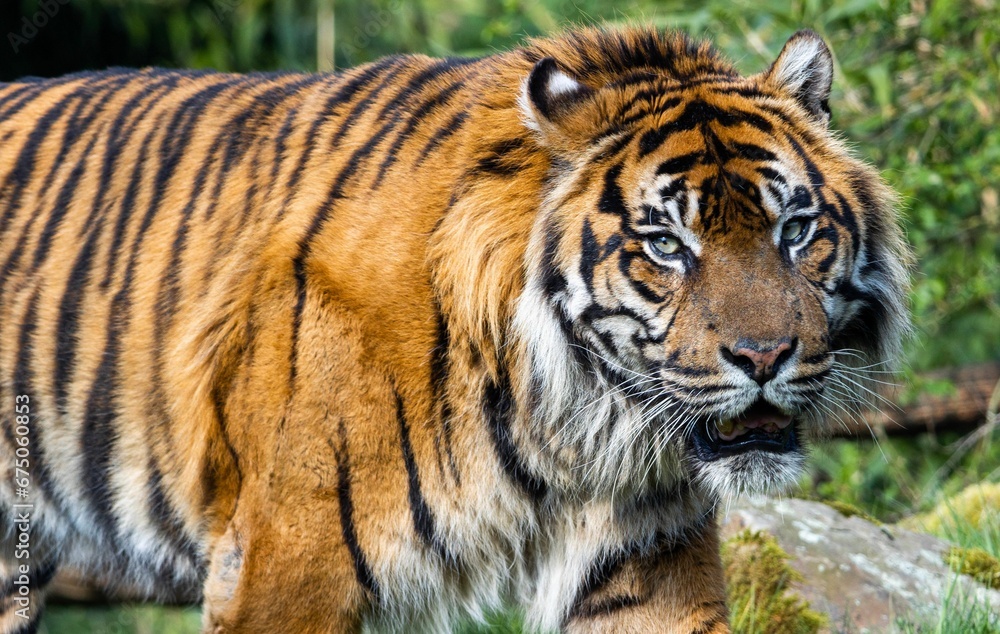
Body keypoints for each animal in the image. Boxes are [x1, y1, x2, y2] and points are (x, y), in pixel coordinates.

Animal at [0, 25, 910, 633]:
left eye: (795, 229)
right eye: (664, 245)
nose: (766, 356)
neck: (569, 422)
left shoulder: (643, 562)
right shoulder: (281, 567)